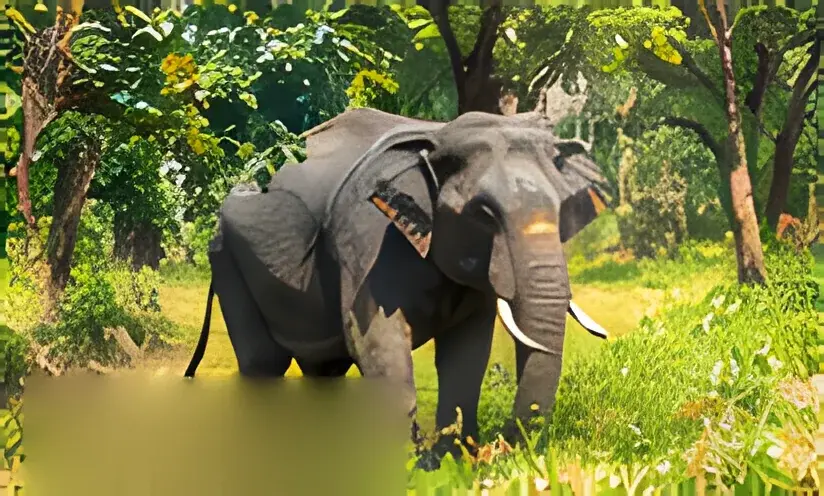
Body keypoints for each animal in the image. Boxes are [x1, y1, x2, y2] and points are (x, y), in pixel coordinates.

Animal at [184, 107, 611, 453]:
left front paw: (452, 461)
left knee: (323, 370)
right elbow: (374, 340)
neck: (437, 137)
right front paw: (402, 465)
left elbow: (467, 352)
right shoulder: (368, 238)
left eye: (564, 210)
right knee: (264, 363)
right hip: (225, 258)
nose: (499, 450)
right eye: (483, 214)